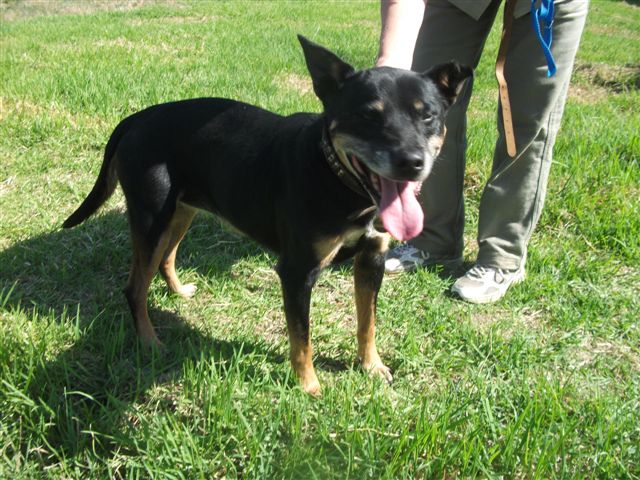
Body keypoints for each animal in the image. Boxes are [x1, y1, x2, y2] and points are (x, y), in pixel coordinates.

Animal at [63, 35, 470, 392]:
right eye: (368, 116)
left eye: (428, 116)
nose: (411, 162)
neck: (337, 176)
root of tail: (136, 118)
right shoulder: (297, 272)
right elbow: (302, 338)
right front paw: (308, 386)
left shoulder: (373, 258)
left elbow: (367, 322)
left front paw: (372, 366)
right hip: (151, 217)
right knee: (134, 288)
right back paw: (150, 343)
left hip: (181, 210)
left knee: (166, 258)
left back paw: (179, 291)